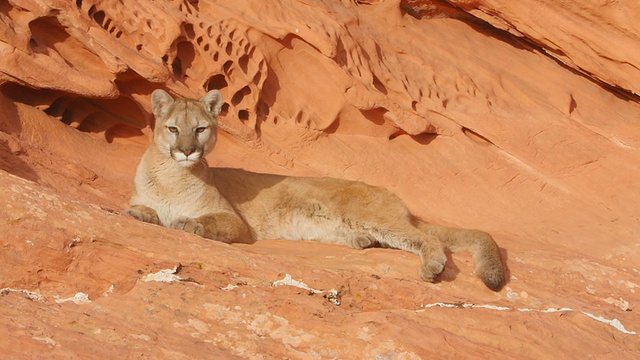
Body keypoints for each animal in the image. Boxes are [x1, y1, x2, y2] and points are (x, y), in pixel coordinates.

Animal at [125, 89, 504, 290]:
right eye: (173, 129)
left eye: (200, 129)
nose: (188, 150)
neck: (173, 176)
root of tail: (396, 200)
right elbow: (143, 207)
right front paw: (140, 213)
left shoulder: (234, 222)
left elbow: (205, 221)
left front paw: (187, 223)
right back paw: (362, 242)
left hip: (373, 216)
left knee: (427, 238)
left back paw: (431, 266)